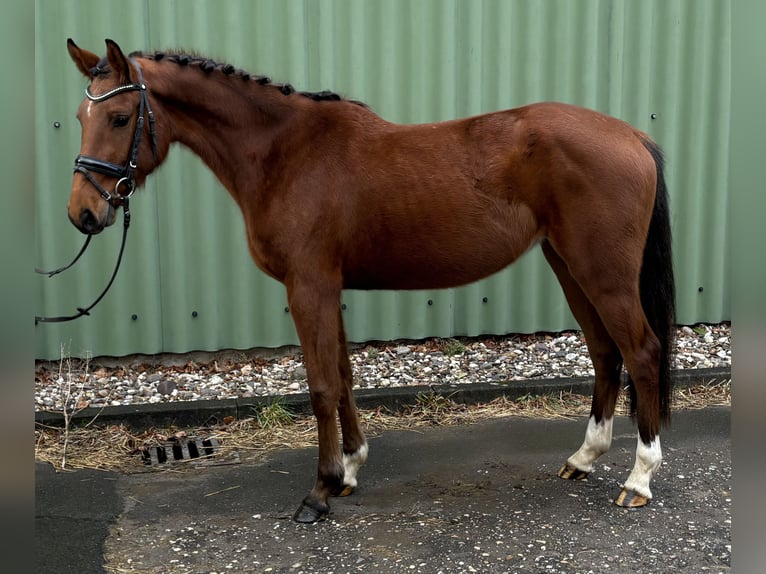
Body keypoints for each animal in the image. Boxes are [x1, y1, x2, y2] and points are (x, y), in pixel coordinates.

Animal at [66, 39, 680, 528]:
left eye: (120, 117)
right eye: (78, 116)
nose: (83, 214)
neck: (285, 153)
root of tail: (632, 136)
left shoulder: (308, 286)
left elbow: (320, 387)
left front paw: (319, 492)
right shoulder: (328, 288)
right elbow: (343, 377)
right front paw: (349, 470)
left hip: (601, 272)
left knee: (642, 352)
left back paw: (639, 479)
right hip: (568, 264)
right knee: (605, 353)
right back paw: (583, 459)